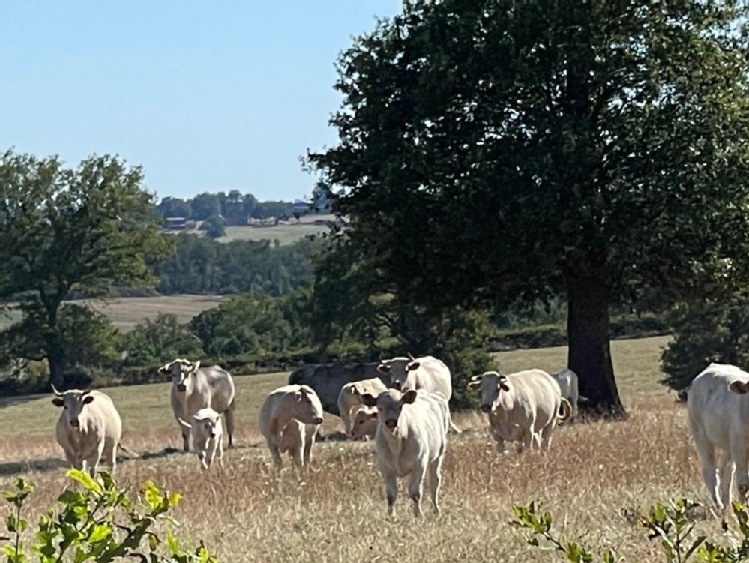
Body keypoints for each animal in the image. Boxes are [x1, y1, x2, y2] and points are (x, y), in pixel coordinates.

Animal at [688, 364, 749, 512]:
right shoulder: (740, 448)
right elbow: (744, 483)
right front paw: (744, 510)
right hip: (700, 435)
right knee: (710, 471)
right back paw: (719, 504)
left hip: (728, 443)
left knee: (725, 471)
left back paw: (727, 505)